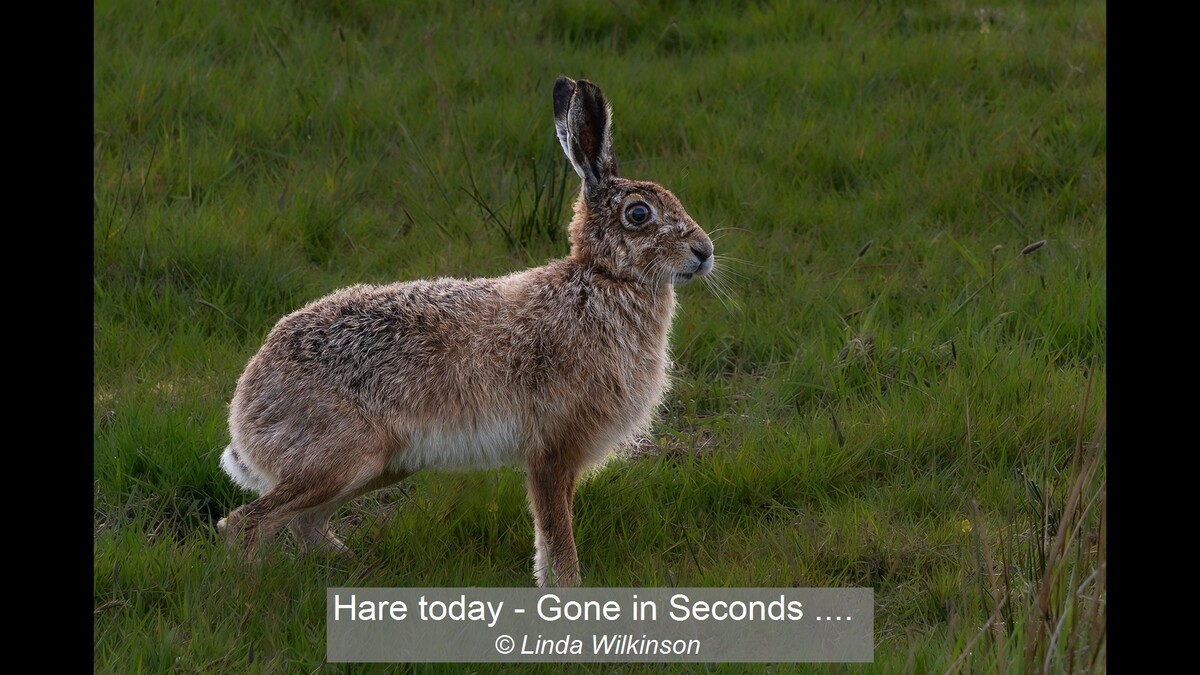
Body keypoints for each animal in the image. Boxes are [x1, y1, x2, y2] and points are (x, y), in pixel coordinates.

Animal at [217, 76, 714, 587]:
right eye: (639, 215)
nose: (704, 251)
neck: (603, 278)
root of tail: (246, 403)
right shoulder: (550, 449)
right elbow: (557, 532)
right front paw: (569, 587)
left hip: (379, 465)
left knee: (305, 522)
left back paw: (361, 569)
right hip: (342, 458)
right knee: (245, 523)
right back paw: (251, 585)